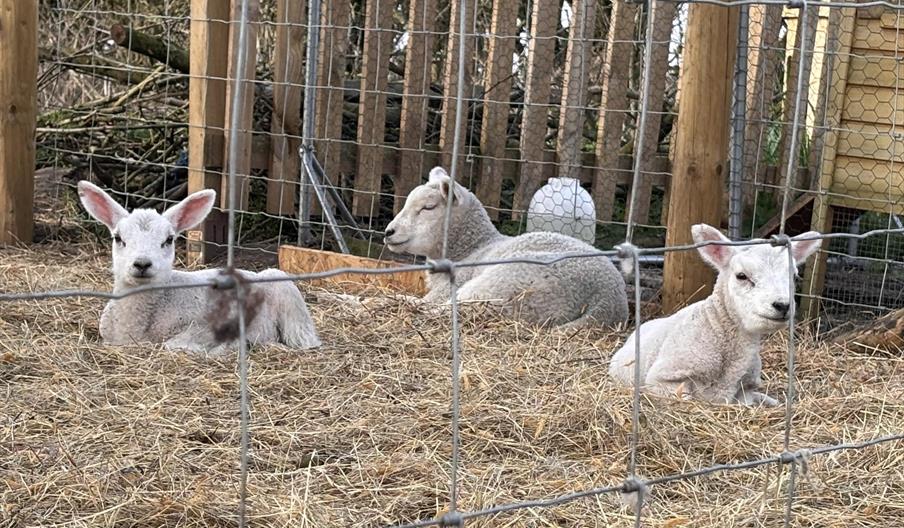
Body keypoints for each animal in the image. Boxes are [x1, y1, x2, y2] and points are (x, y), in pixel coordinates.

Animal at [77, 181, 320, 354]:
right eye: (118, 238)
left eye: (169, 240)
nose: (142, 263)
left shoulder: (205, 328)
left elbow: (176, 345)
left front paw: (232, 346)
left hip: (286, 294)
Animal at [382, 167, 629, 327]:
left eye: (428, 207)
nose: (388, 232)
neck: (472, 247)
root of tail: (605, 300)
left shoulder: (450, 286)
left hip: (508, 284)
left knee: (443, 310)